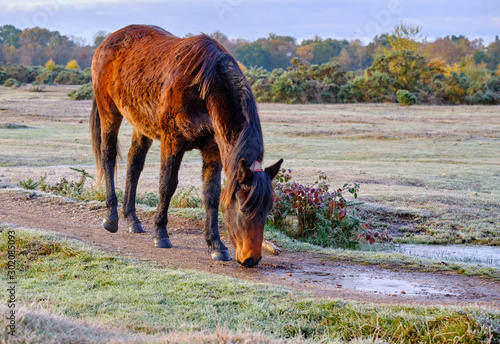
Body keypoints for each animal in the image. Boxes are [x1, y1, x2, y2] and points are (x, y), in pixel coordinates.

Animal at [89, 25, 282, 268]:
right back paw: (111, 217)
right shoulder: (173, 141)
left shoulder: (213, 151)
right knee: (109, 158)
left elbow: (211, 195)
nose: (251, 259)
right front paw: (161, 234)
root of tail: (108, 41)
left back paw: (132, 219)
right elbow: (167, 185)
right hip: (109, 112)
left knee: (134, 164)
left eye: (268, 209)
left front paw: (216, 245)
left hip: (141, 124)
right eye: (244, 208)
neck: (205, 89)